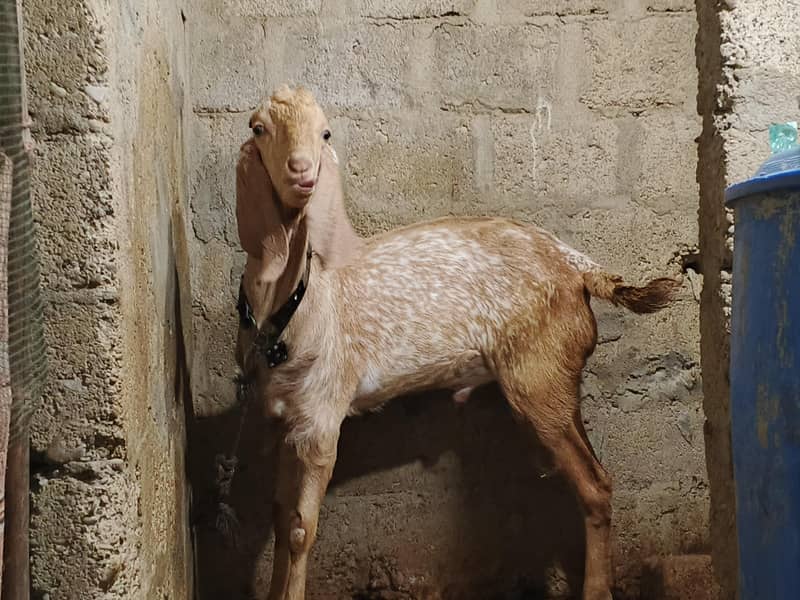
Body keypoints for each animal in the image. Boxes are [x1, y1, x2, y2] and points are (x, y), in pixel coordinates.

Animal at [234, 84, 681, 600]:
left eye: (325, 131)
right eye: (258, 127)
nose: (302, 172)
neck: (297, 304)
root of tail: (578, 266)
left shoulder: (321, 419)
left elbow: (300, 529)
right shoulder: (285, 422)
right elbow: (279, 519)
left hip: (537, 379)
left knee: (595, 486)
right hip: (558, 382)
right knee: (596, 474)